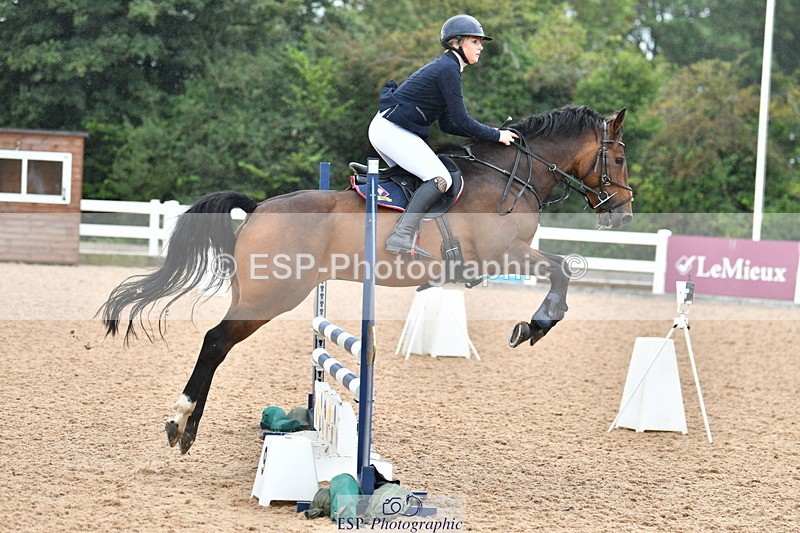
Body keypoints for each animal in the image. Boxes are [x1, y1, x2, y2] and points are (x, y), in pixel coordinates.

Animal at [100, 104, 633, 454]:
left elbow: (562, 267)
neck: (510, 177)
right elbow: (562, 268)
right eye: (620, 159)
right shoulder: (504, 254)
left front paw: (536, 323)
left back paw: (186, 426)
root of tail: (259, 207)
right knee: (215, 341)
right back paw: (180, 424)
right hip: (271, 296)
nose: (623, 214)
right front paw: (537, 324)